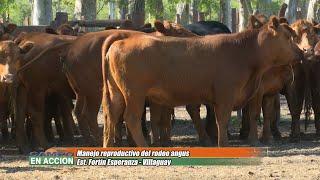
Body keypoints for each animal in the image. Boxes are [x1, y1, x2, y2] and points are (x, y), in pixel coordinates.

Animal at [102, 16, 302, 146]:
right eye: (288, 37)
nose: (301, 53)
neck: (242, 51)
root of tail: (120, 41)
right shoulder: (225, 95)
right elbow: (222, 120)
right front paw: (223, 144)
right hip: (134, 94)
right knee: (131, 118)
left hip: (116, 93)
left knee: (111, 116)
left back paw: (108, 146)